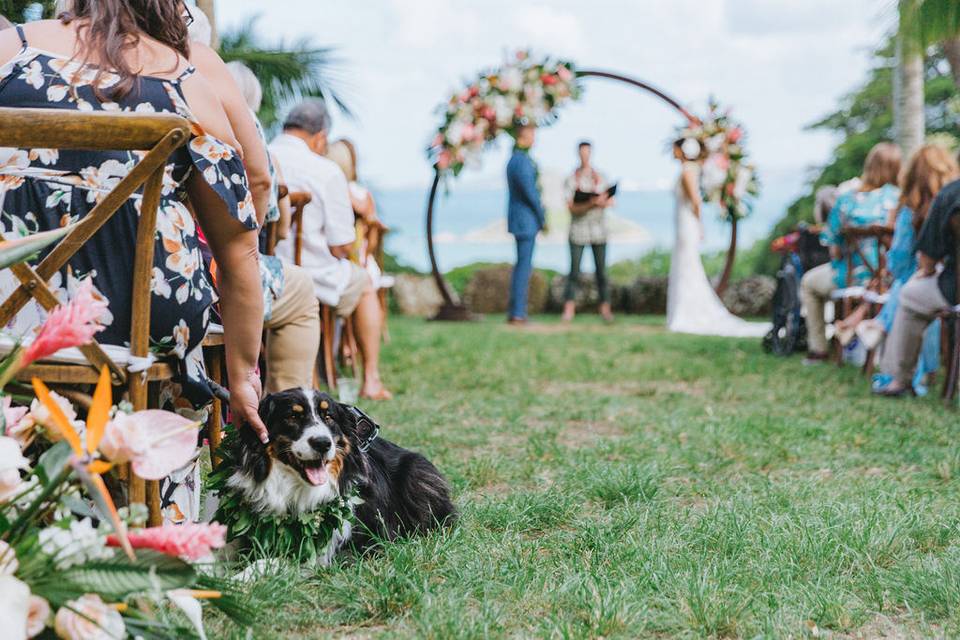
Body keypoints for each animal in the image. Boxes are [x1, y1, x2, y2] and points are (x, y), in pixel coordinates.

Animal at [219, 388, 456, 564]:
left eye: (328, 417)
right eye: (293, 416)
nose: (323, 443)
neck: (295, 486)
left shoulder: (356, 544)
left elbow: (276, 561)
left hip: (417, 473)